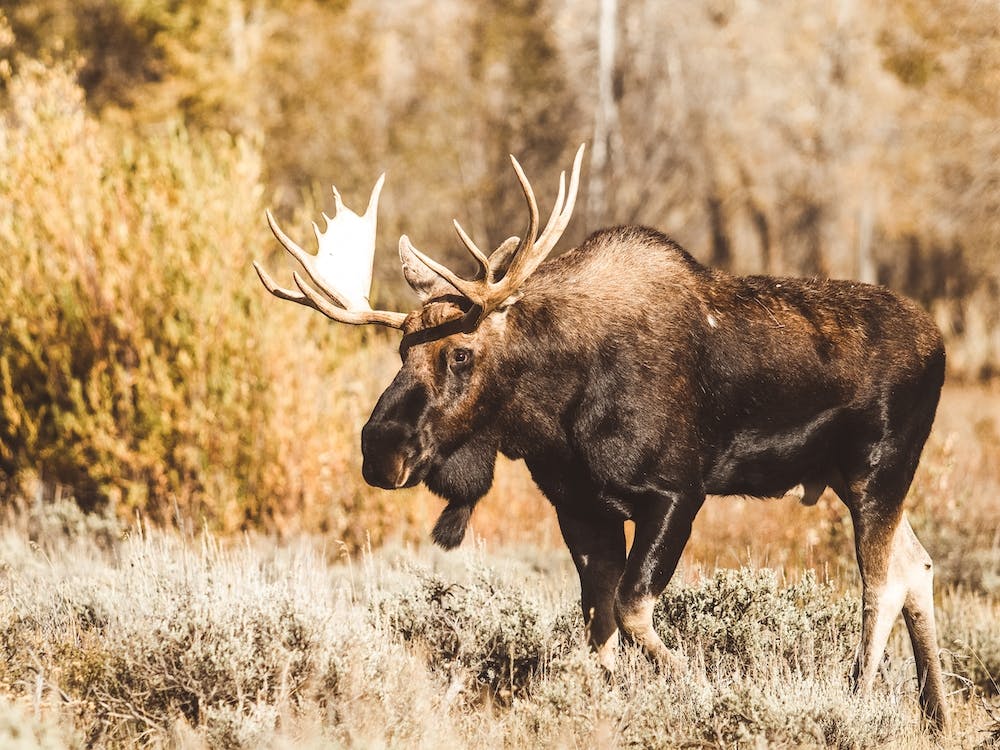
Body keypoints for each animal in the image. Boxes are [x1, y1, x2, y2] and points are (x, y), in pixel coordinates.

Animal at [254, 145, 948, 731]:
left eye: (460, 353)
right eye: (402, 349)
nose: (380, 448)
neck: (555, 413)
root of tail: (940, 343)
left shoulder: (676, 492)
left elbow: (633, 607)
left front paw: (698, 689)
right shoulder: (580, 505)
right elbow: (599, 620)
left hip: (879, 469)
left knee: (881, 581)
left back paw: (857, 701)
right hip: (848, 477)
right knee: (917, 564)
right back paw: (936, 716)